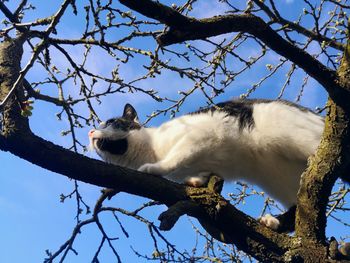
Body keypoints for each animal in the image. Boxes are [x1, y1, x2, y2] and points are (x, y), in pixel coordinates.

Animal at [89, 99, 324, 231]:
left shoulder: (198, 136)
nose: (90, 132)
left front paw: (154, 168)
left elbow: (176, 157)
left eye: (110, 122)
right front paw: (195, 181)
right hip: (278, 179)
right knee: (299, 209)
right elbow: (201, 171)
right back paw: (274, 222)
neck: (151, 150)